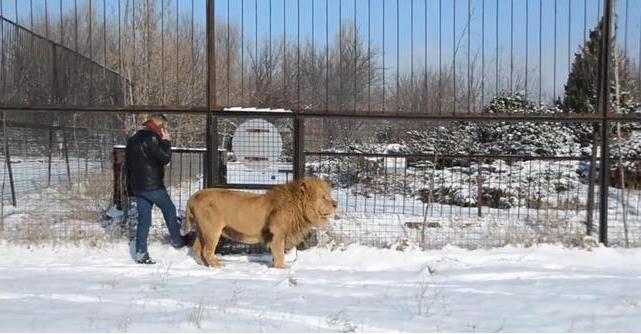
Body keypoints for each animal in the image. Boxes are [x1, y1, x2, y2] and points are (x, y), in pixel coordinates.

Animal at [181, 177, 336, 268]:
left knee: (197, 249)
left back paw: (204, 265)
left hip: (203, 231)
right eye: (323, 197)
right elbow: (279, 253)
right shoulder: (277, 234)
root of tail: (193, 196)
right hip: (212, 231)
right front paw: (282, 268)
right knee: (206, 251)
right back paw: (217, 265)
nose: (336, 204)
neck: (299, 208)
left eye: (329, 196)